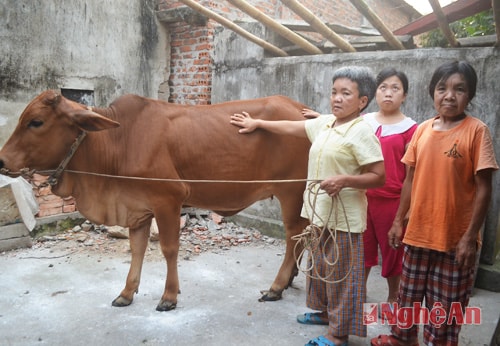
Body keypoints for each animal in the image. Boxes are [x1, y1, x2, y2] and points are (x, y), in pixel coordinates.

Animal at [0, 90, 310, 312]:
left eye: (36, 122)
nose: (1, 160)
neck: (119, 141)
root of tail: (303, 110)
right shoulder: (136, 208)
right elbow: (137, 249)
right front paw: (126, 293)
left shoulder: (168, 201)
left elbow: (169, 249)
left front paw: (169, 296)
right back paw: (289, 279)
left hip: (292, 193)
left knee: (294, 235)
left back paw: (276, 286)